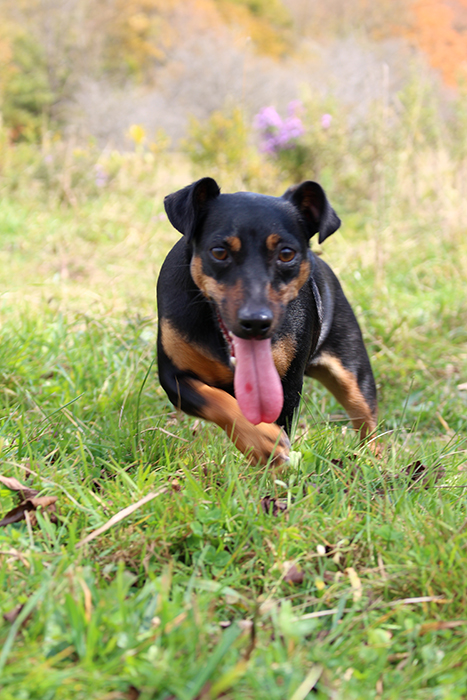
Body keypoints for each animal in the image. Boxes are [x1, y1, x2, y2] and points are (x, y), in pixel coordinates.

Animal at [156, 179, 376, 464]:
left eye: (286, 254)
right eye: (219, 252)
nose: (256, 321)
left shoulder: (288, 386)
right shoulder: (173, 376)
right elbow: (214, 400)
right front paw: (261, 440)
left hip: (354, 372)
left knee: (368, 422)